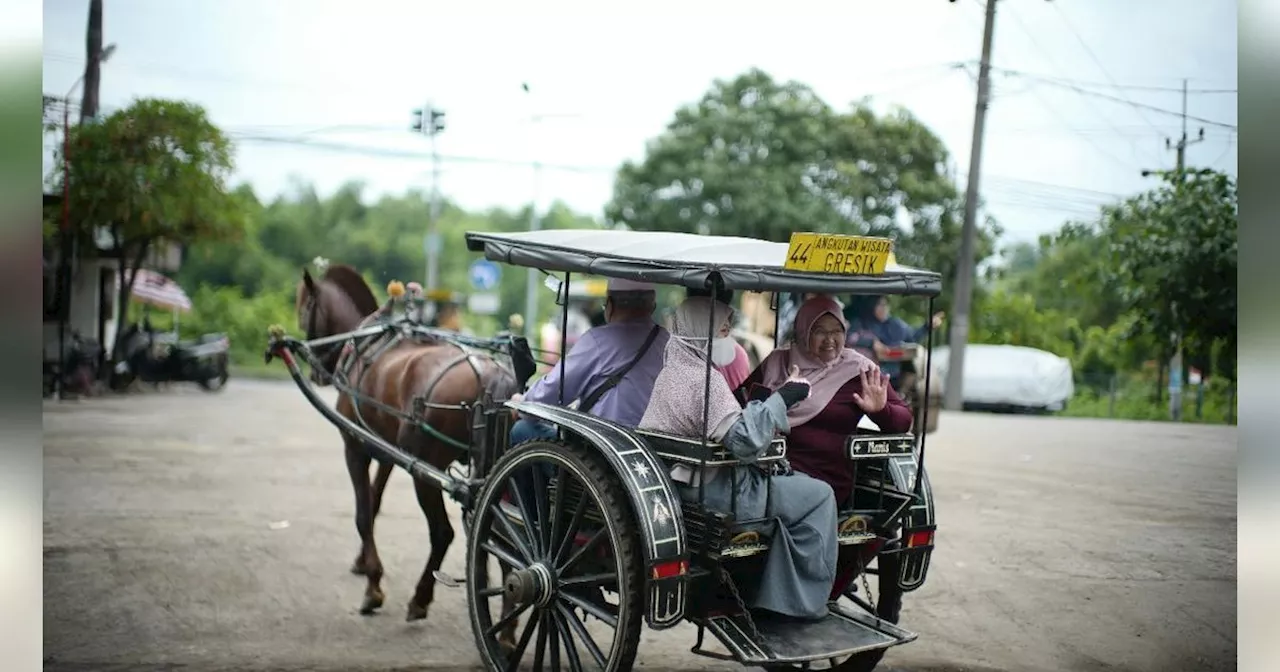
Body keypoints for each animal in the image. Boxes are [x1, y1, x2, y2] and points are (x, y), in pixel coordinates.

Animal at [294, 264, 519, 622]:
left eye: (303, 308)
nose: (316, 372)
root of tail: (491, 374)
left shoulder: (354, 446)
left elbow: (362, 512)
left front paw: (373, 587)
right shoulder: (385, 451)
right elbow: (374, 503)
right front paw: (362, 563)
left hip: (426, 472)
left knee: (443, 533)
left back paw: (421, 598)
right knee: (504, 543)